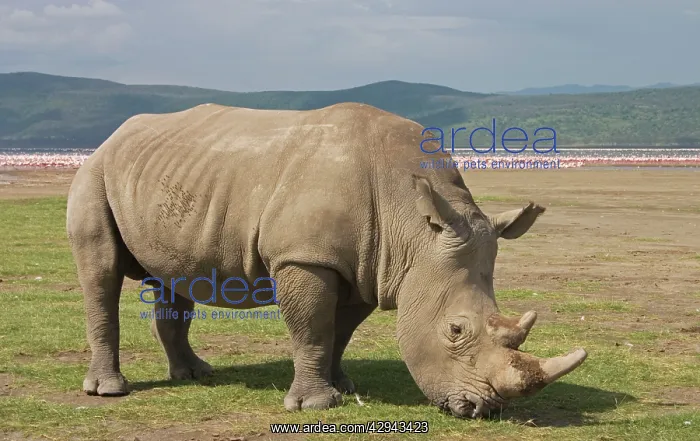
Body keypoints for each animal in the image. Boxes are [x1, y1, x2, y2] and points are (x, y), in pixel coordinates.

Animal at [66, 102, 587, 418]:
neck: (415, 231)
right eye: (455, 330)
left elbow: (340, 330)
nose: (484, 409)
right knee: (101, 270)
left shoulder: (372, 266)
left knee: (175, 278)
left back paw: (196, 375)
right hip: (95, 171)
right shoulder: (306, 258)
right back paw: (109, 390)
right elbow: (313, 328)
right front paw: (316, 406)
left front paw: (346, 387)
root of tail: (113, 136)